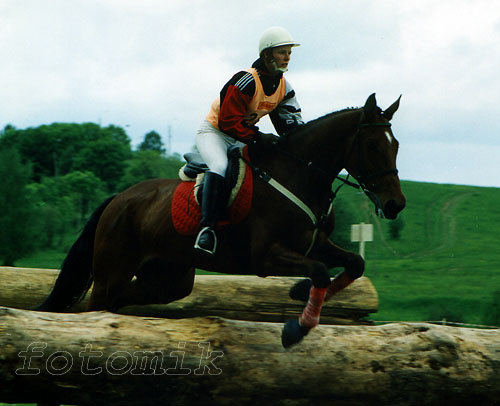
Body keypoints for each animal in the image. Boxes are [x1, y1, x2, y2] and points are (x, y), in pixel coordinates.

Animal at [38, 93, 406, 348]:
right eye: (372, 146)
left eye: (397, 145)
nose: (395, 205)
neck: (300, 173)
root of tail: (118, 198)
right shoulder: (266, 256)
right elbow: (317, 270)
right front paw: (295, 329)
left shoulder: (315, 244)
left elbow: (354, 263)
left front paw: (301, 291)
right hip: (112, 271)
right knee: (94, 307)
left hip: (169, 278)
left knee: (119, 302)